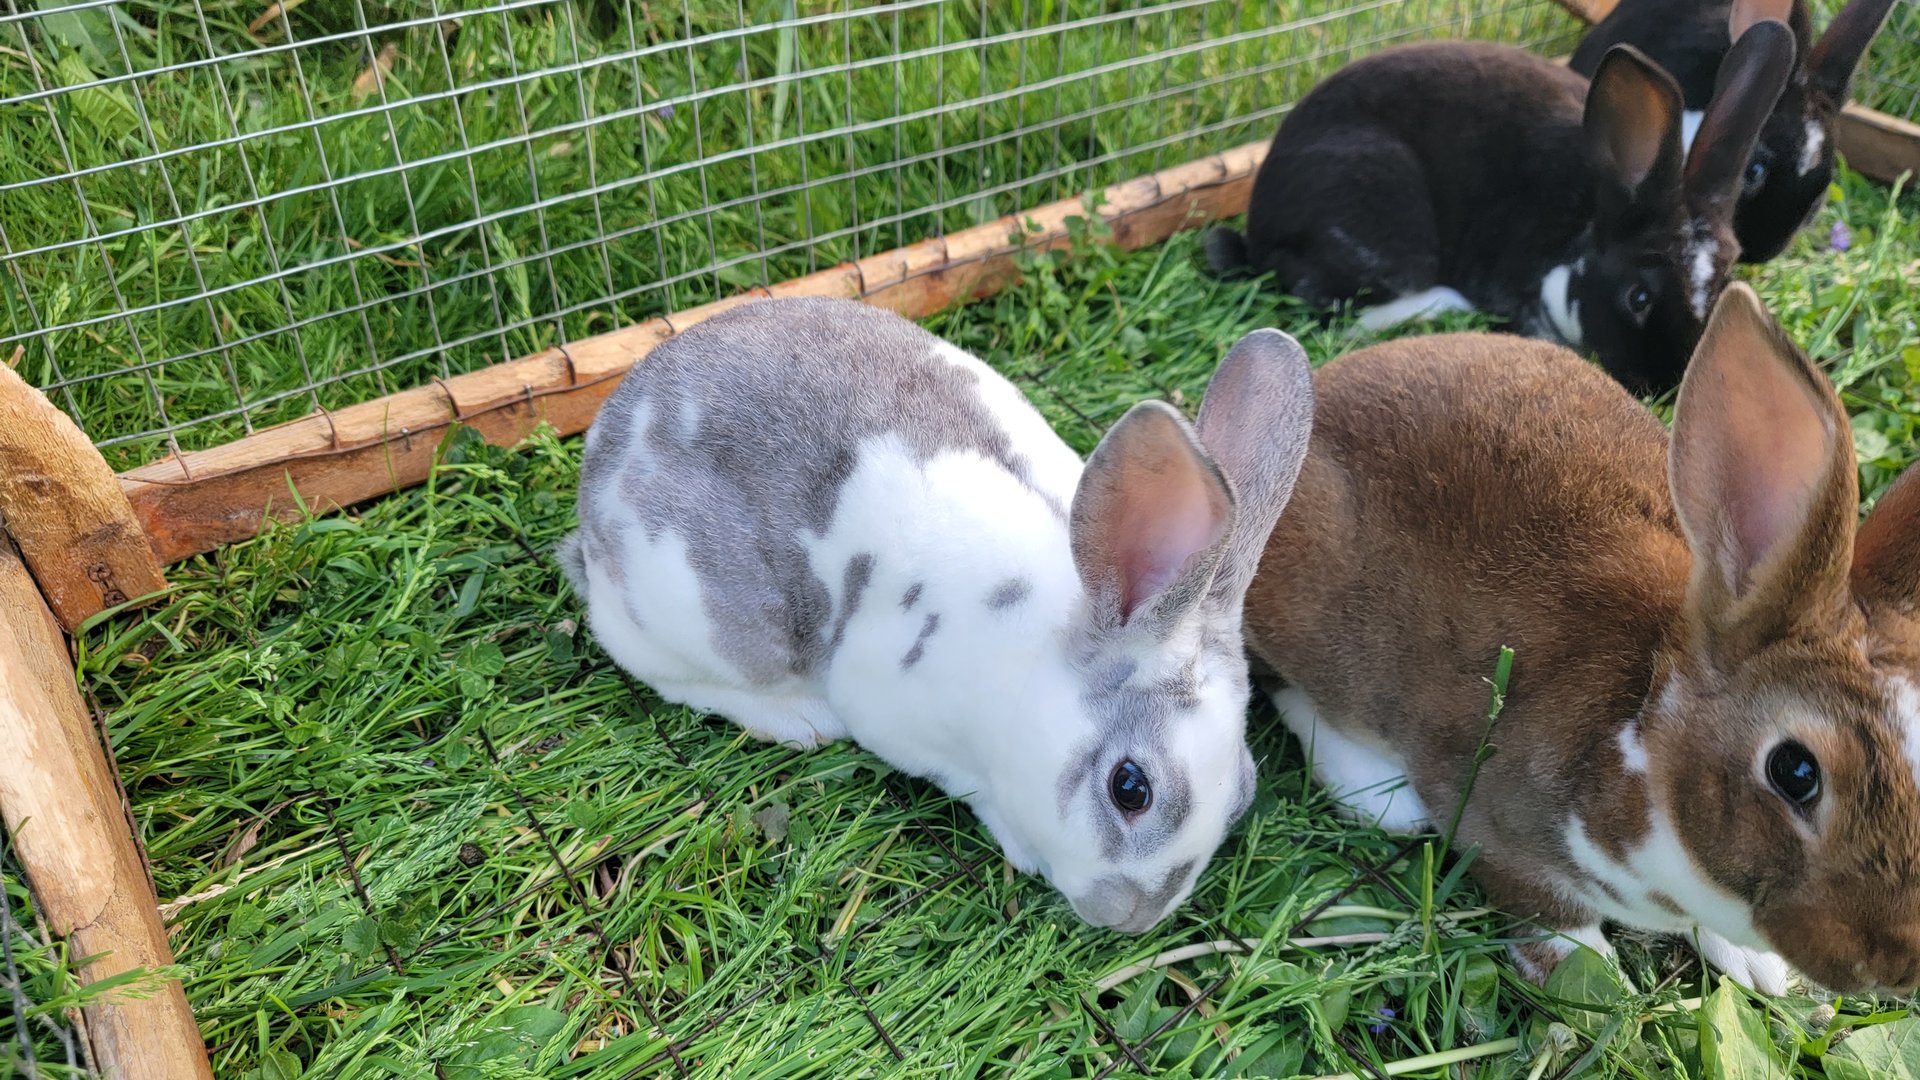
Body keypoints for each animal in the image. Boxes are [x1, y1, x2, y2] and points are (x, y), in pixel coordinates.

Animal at [560, 297, 1317, 933]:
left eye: (1244, 792)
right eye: (1130, 789)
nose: (1131, 919)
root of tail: (599, 470)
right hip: (705, 619)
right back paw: (799, 720)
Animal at [1204, 30, 1794, 395]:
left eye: (1726, 286)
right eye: (1639, 297)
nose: (1666, 386)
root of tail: (1257, 230)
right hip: (1388, 225)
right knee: (1329, 305)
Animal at [1241, 281, 1920, 995]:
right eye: (1795, 772)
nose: (1895, 969)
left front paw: (1760, 970)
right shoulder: (1498, 829)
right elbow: (1549, 918)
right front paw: (1595, 985)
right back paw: (1377, 792)